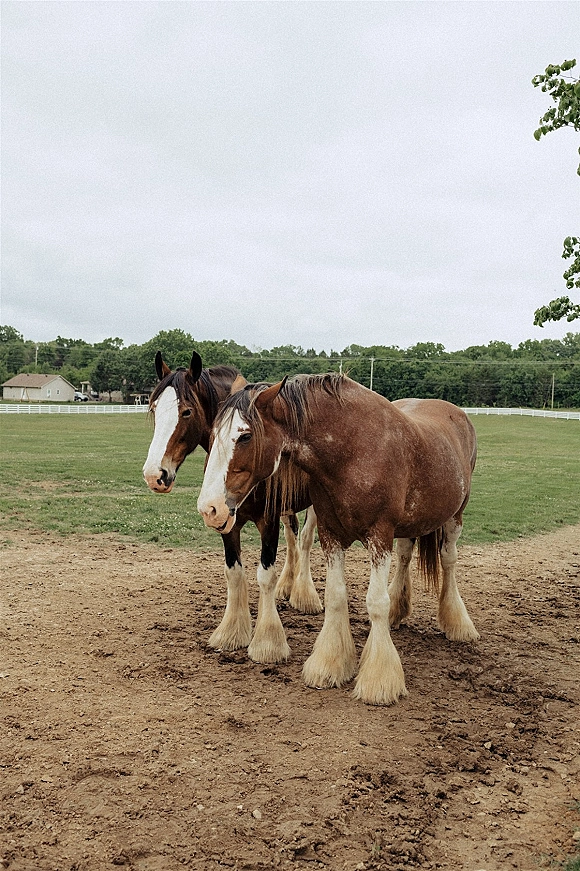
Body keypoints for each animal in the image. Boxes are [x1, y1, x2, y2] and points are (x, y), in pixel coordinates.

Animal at [142, 351, 321, 664]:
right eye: (153, 408)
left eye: (186, 411)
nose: (155, 475)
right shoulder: (225, 518)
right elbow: (234, 572)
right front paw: (231, 634)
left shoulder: (267, 521)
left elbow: (264, 575)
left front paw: (267, 642)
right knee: (293, 537)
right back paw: (288, 585)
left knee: (305, 540)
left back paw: (304, 594)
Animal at [198, 373, 479, 706]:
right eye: (213, 433)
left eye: (245, 436)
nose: (209, 508)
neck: (353, 451)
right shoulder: (330, 535)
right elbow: (335, 595)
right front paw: (330, 664)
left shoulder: (379, 536)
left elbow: (376, 602)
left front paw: (379, 679)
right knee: (405, 555)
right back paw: (400, 611)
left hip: (455, 517)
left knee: (448, 561)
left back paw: (457, 623)